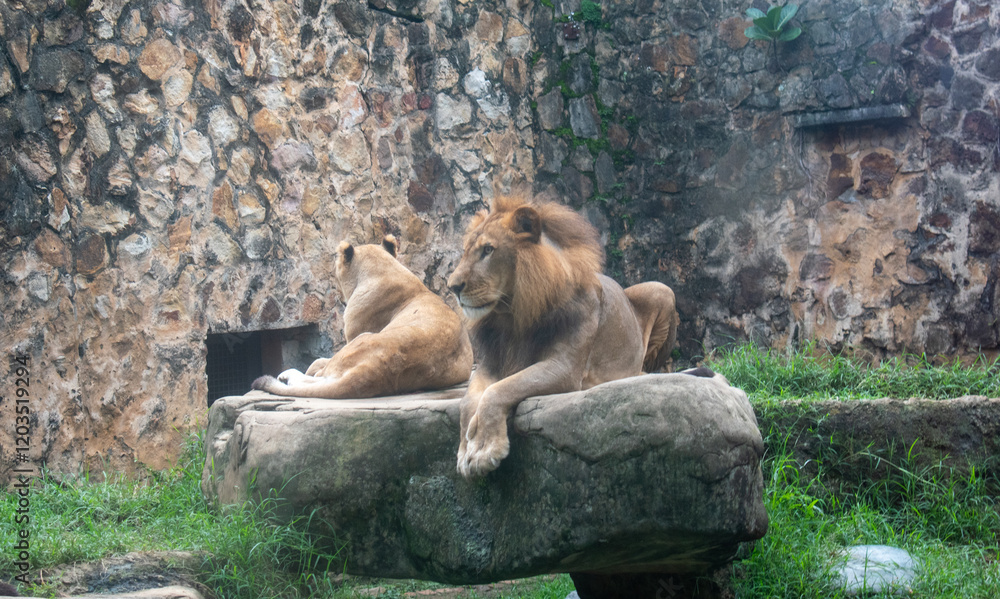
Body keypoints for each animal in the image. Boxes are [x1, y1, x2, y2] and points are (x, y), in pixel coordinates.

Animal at [252, 235, 474, 399]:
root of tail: (376, 370)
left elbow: (319, 363)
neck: (383, 268)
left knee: (320, 377)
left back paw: (286, 375)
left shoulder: (355, 331)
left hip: (362, 338)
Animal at [447, 197, 682, 478]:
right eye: (466, 250)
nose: (452, 286)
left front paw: (484, 450)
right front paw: (465, 451)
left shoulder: (565, 368)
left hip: (662, 289)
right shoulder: (491, 363)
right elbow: (468, 401)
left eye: (488, 250)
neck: (515, 316)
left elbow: (499, 390)